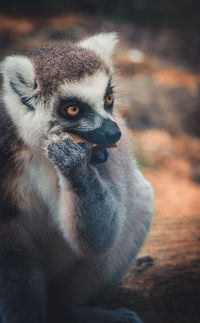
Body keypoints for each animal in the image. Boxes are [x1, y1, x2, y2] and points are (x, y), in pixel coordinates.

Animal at [0, 33, 153, 323]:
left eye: (108, 99)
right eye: (73, 109)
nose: (114, 133)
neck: (40, 150)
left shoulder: (105, 155)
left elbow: (100, 238)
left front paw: (74, 167)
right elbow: (13, 255)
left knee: (137, 201)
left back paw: (70, 309)